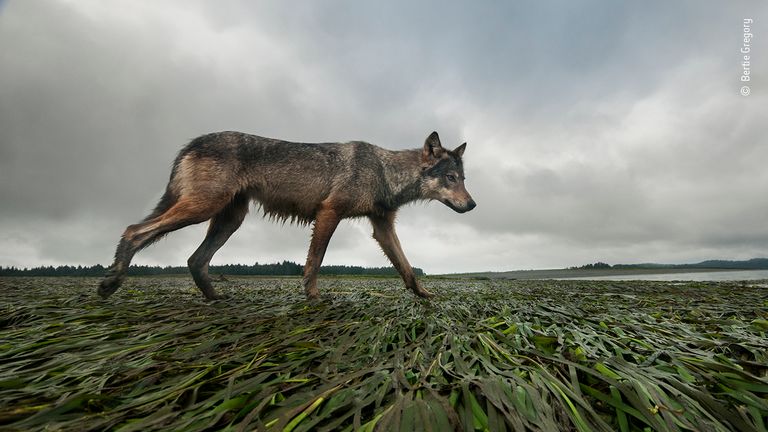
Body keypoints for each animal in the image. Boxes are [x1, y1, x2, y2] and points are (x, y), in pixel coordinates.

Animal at [97, 132, 474, 300]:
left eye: (464, 179)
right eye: (450, 178)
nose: (472, 206)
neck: (384, 172)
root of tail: (192, 142)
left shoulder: (382, 228)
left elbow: (406, 266)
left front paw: (425, 296)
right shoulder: (328, 213)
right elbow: (315, 261)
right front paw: (314, 298)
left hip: (228, 220)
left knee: (194, 259)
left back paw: (216, 299)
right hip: (202, 209)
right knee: (134, 230)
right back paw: (110, 283)